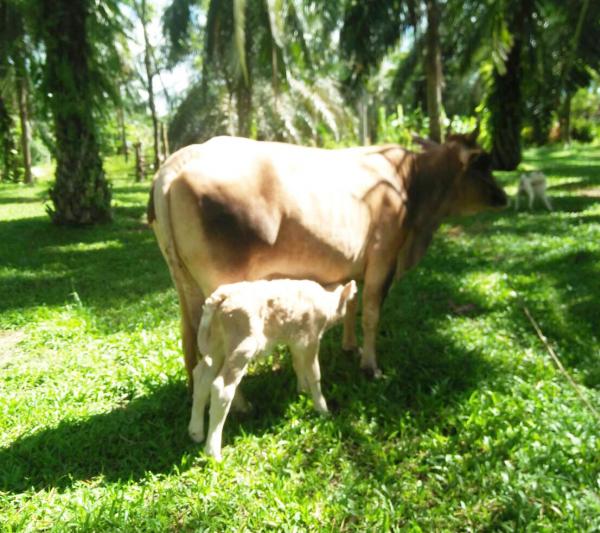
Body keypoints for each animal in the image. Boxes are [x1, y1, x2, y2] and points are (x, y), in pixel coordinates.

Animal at [148, 130, 507, 383]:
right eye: (483, 163)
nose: (503, 197)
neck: (413, 185)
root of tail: (178, 161)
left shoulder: (353, 264)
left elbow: (350, 304)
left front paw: (350, 348)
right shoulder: (383, 260)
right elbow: (371, 314)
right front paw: (370, 366)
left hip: (186, 284)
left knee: (189, 336)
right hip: (225, 287)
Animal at [188, 278, 357, 460]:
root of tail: (222, 294)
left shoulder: (296, 342)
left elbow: (298, 365)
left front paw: (302, 390)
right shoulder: (310, 340)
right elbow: (314, 374)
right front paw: (322, 409)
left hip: (217, 343)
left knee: (202, 376)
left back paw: (196, 431)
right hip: (242, 346)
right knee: (222, 387)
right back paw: (213, 452)